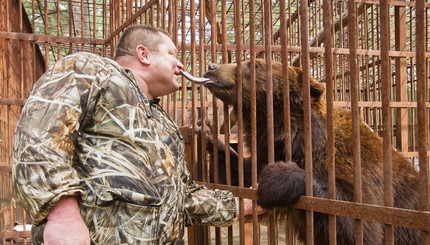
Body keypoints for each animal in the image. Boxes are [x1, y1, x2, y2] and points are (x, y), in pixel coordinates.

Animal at [201, 59, 420, 245]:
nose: (212, 66)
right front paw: (208, 134)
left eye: (253, 65)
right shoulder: (268, 152)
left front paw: (275, 178)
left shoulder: (355, 167)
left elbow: (358, 222)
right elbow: (237, 175)